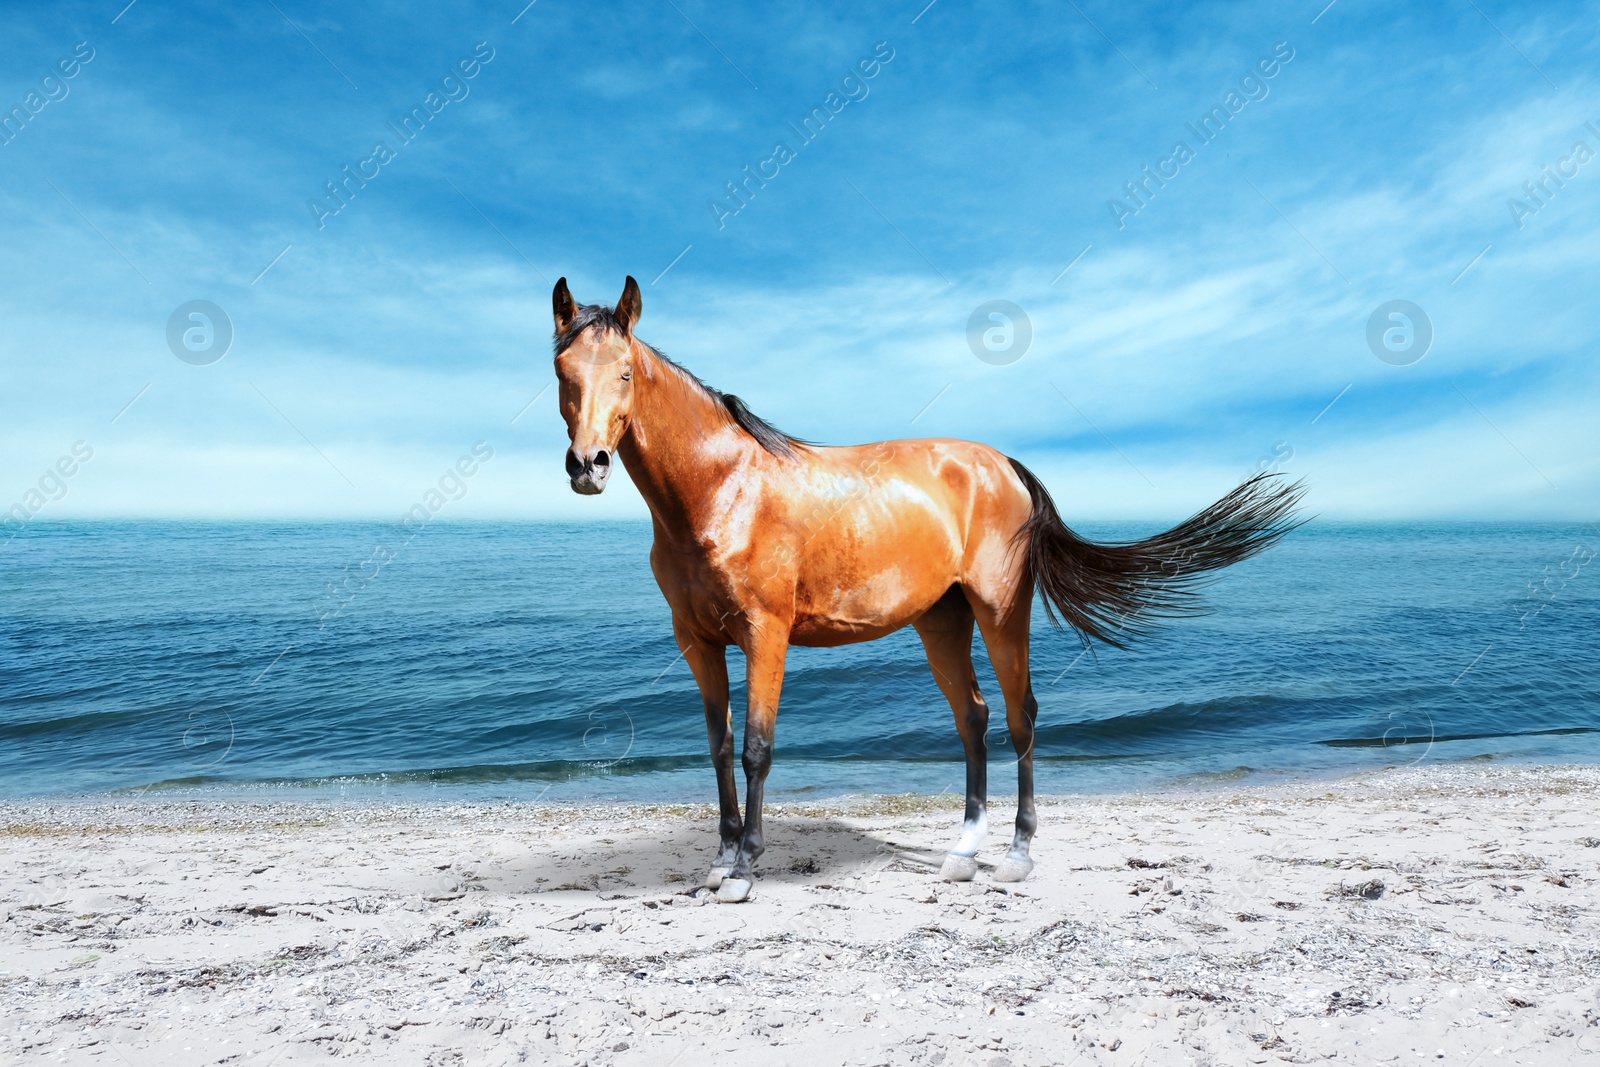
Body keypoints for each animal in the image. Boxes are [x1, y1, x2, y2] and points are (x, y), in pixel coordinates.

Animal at [550, 273, 1299, 902]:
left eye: (624, 372)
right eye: (563, 372)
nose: (589, 465)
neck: (723, 490)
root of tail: (1005, 466)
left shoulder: (767, 634)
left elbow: (755, 747)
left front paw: (745, 867)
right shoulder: (698, 642)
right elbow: (717, 748)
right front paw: (720, 859)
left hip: (1000, 612)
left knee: (1021, 717)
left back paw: (1018, 853)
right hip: (942, 620)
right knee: (975, 718)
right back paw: (963, 852)